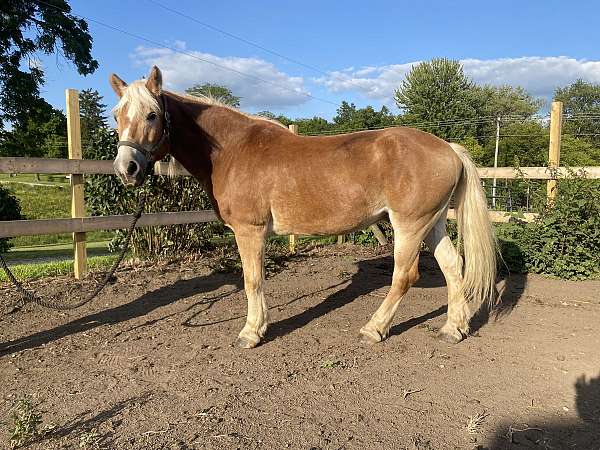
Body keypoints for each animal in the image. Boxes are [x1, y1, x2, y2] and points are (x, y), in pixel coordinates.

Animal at [109, 66, 496, 348]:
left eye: (152, 115)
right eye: (116, 115)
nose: (127, 168)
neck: (232, 149)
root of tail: (447, 148)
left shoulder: (250, 231)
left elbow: (252, 280)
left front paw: (252, 332)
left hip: (410, 225)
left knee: (405, 276)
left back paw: (373, 329)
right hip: (432, 224)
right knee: (454, 268)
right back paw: (454, 329)